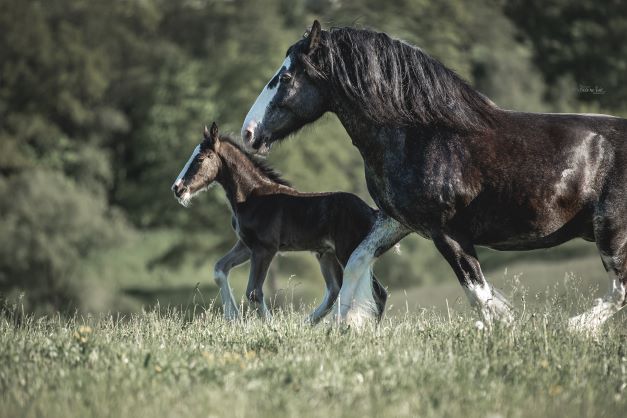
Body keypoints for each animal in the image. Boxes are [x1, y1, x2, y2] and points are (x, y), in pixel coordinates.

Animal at [239, 21, 624, 332]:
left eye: (285, 78)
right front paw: (345, 326)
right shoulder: (397, 221)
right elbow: (356, 264)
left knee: (618, 291)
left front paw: (503, 329)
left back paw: (575, 327)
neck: (422, 134)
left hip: (610, 232)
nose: (249, 133)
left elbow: (478, 294)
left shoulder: (447, 232)